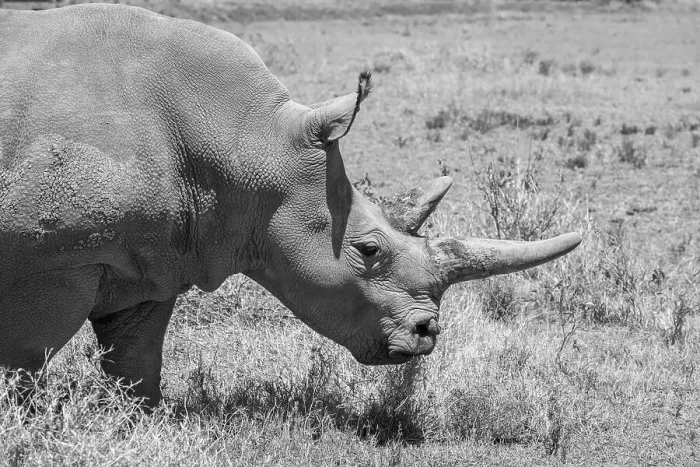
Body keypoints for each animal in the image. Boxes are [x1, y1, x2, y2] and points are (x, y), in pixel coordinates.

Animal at [0, 4, 581, 406]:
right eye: (370, 250)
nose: (426, 335)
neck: (246, 140)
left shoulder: (154, 259)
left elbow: (136, 361)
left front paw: (137, 422)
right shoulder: (51, 262)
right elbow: (24, 360)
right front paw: (22, 423)